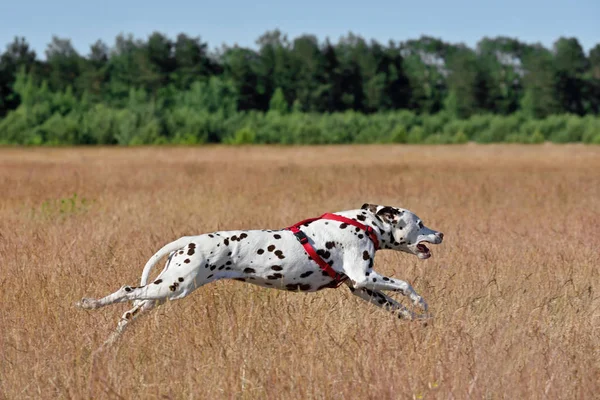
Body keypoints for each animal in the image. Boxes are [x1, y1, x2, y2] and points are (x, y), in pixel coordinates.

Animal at [77, 205, 442, 346]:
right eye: (420, 222)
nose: (440, 234)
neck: (364, 224)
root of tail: (188, 241)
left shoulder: (362, 288)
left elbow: (399, 308)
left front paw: (421, 320)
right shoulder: (365, 276)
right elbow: (406, 285)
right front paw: (421, 302)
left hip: (163, 291)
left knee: (128, 312)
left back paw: (107, 344)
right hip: (172, 287)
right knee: (126, 290)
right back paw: (89, 304)